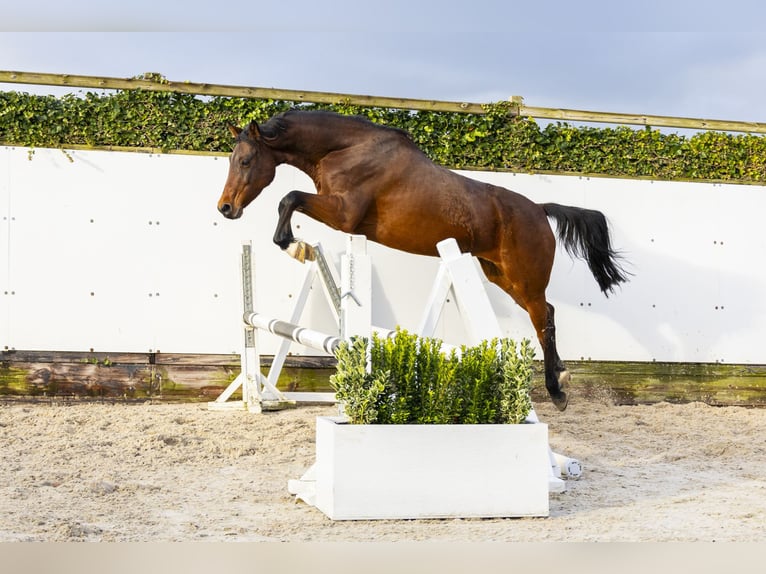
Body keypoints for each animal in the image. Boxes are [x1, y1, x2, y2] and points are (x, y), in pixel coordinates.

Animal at [218, 110, 632, 412]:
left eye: (246, 160)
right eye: (232, 160)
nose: (225, 208)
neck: (343, 150)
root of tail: (539, 209)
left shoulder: (344, 214)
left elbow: (288, 198)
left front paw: (294, 245)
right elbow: (289, 202)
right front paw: (297, 245)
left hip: (524, 278)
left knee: (543, 319)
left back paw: (557, 391)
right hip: (501, 276)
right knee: (547, 313)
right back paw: (560, 377)